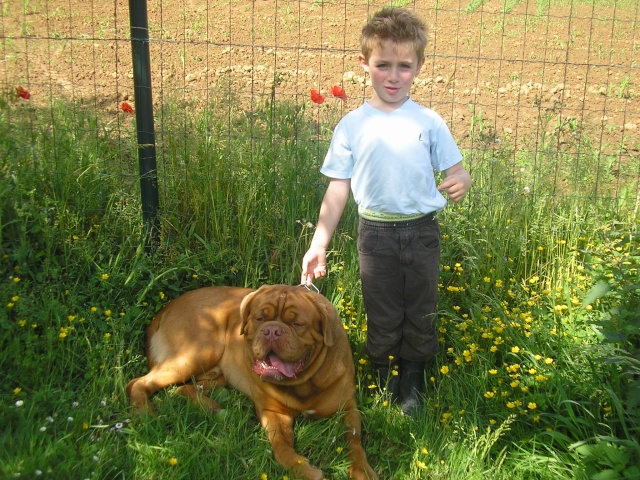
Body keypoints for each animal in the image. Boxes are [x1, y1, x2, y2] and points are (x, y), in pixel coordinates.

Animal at [126, 284, 376, 480]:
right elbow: (281, 445)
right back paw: (144, 415)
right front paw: (303, 470)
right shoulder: (273, 413)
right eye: (260, 318)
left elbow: (354, 442)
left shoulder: (348, 409)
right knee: (137, 382)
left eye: (296, 324)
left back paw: (211, 407)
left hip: (214, 371)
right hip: (196, 353)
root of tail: (166, 308)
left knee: (181, 389)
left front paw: (362, 470)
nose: (272, 330)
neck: (304, 383)